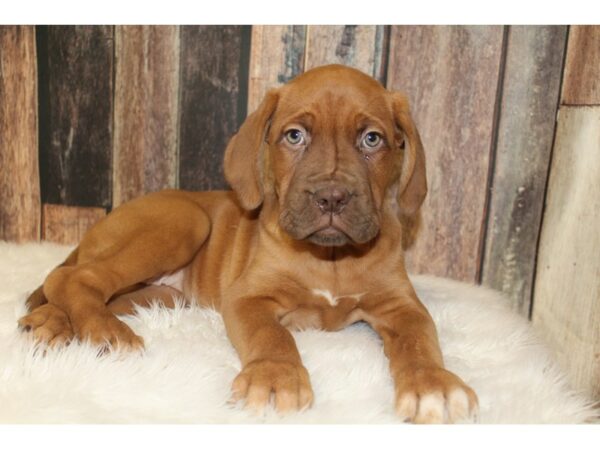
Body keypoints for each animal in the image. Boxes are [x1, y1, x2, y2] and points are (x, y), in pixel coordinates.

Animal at [19, 65, 478, 424]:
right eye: (294, 136)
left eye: (371, 139)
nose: (331, 197)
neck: (330, 256)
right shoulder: (248, 297)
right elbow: (271, 336)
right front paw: (275, 377)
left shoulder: (401, 305)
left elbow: (420, 341)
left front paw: (433, 384)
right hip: (183, 222)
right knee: (73, 277)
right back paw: (103, 333)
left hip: (162, 295)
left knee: (93, 288)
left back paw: (52, 322)